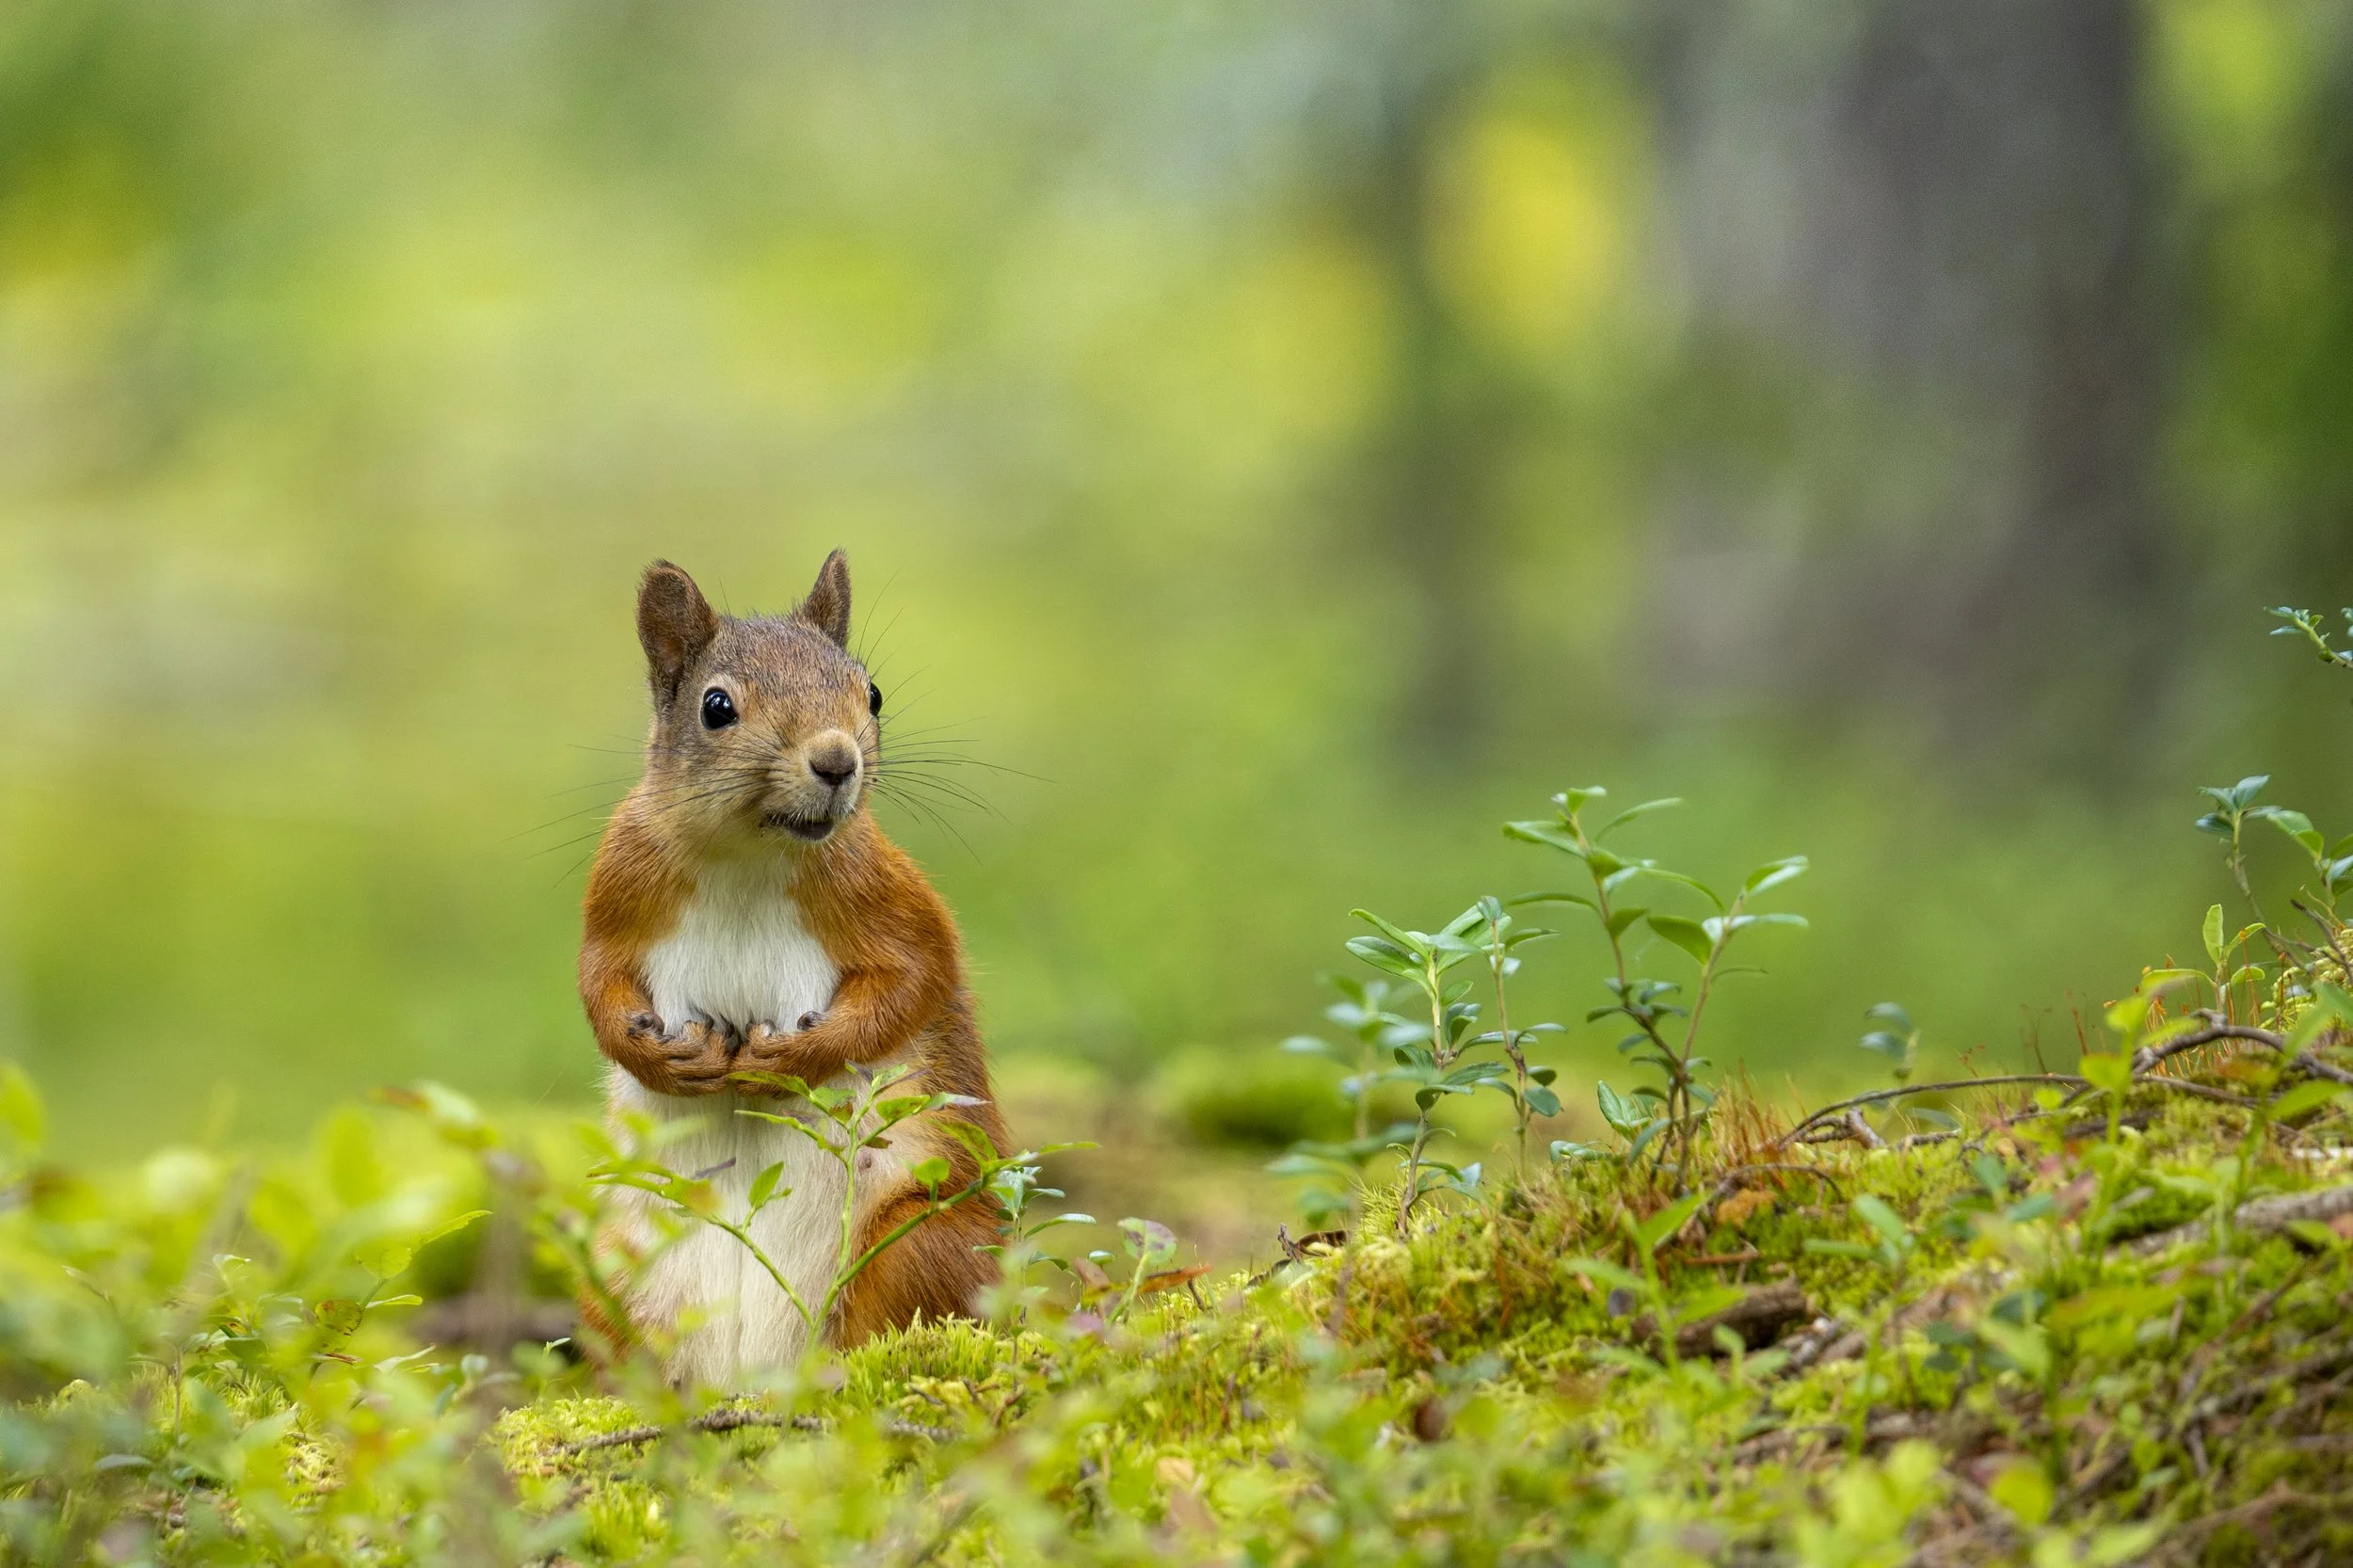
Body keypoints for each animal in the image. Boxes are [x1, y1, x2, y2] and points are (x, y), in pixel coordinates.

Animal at [577, 551, 1010, 1385]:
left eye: (871, 693)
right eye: (716, 707)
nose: (838, 760)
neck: (748, 852)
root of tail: (755, 1381)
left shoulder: (889, 897)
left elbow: (916, 981)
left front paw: (794, 1058)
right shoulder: (619, 888)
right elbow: (597, 987)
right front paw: (661, 1058)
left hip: (920, 1241)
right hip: (613, 1274)